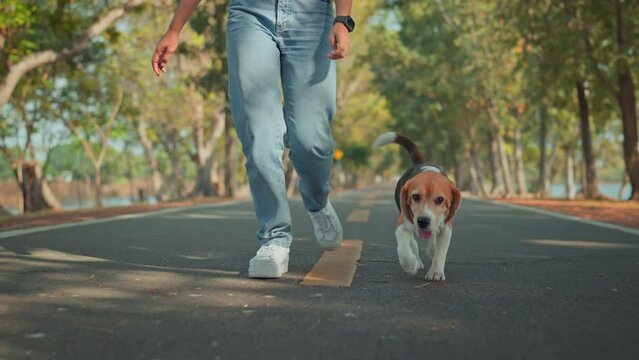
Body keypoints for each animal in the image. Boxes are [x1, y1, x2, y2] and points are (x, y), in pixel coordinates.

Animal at [376, 132, 460, 282]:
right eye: (415, 197)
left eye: (440, 199)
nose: (423, 221)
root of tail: (421, 163)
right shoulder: (402, 226)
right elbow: (404, 250)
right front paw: (411, 265)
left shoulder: (446, 228)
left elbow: (440, 252)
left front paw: (436, 271)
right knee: (413, 243)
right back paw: (417, 261)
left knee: (433, 237)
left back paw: (431, 249)